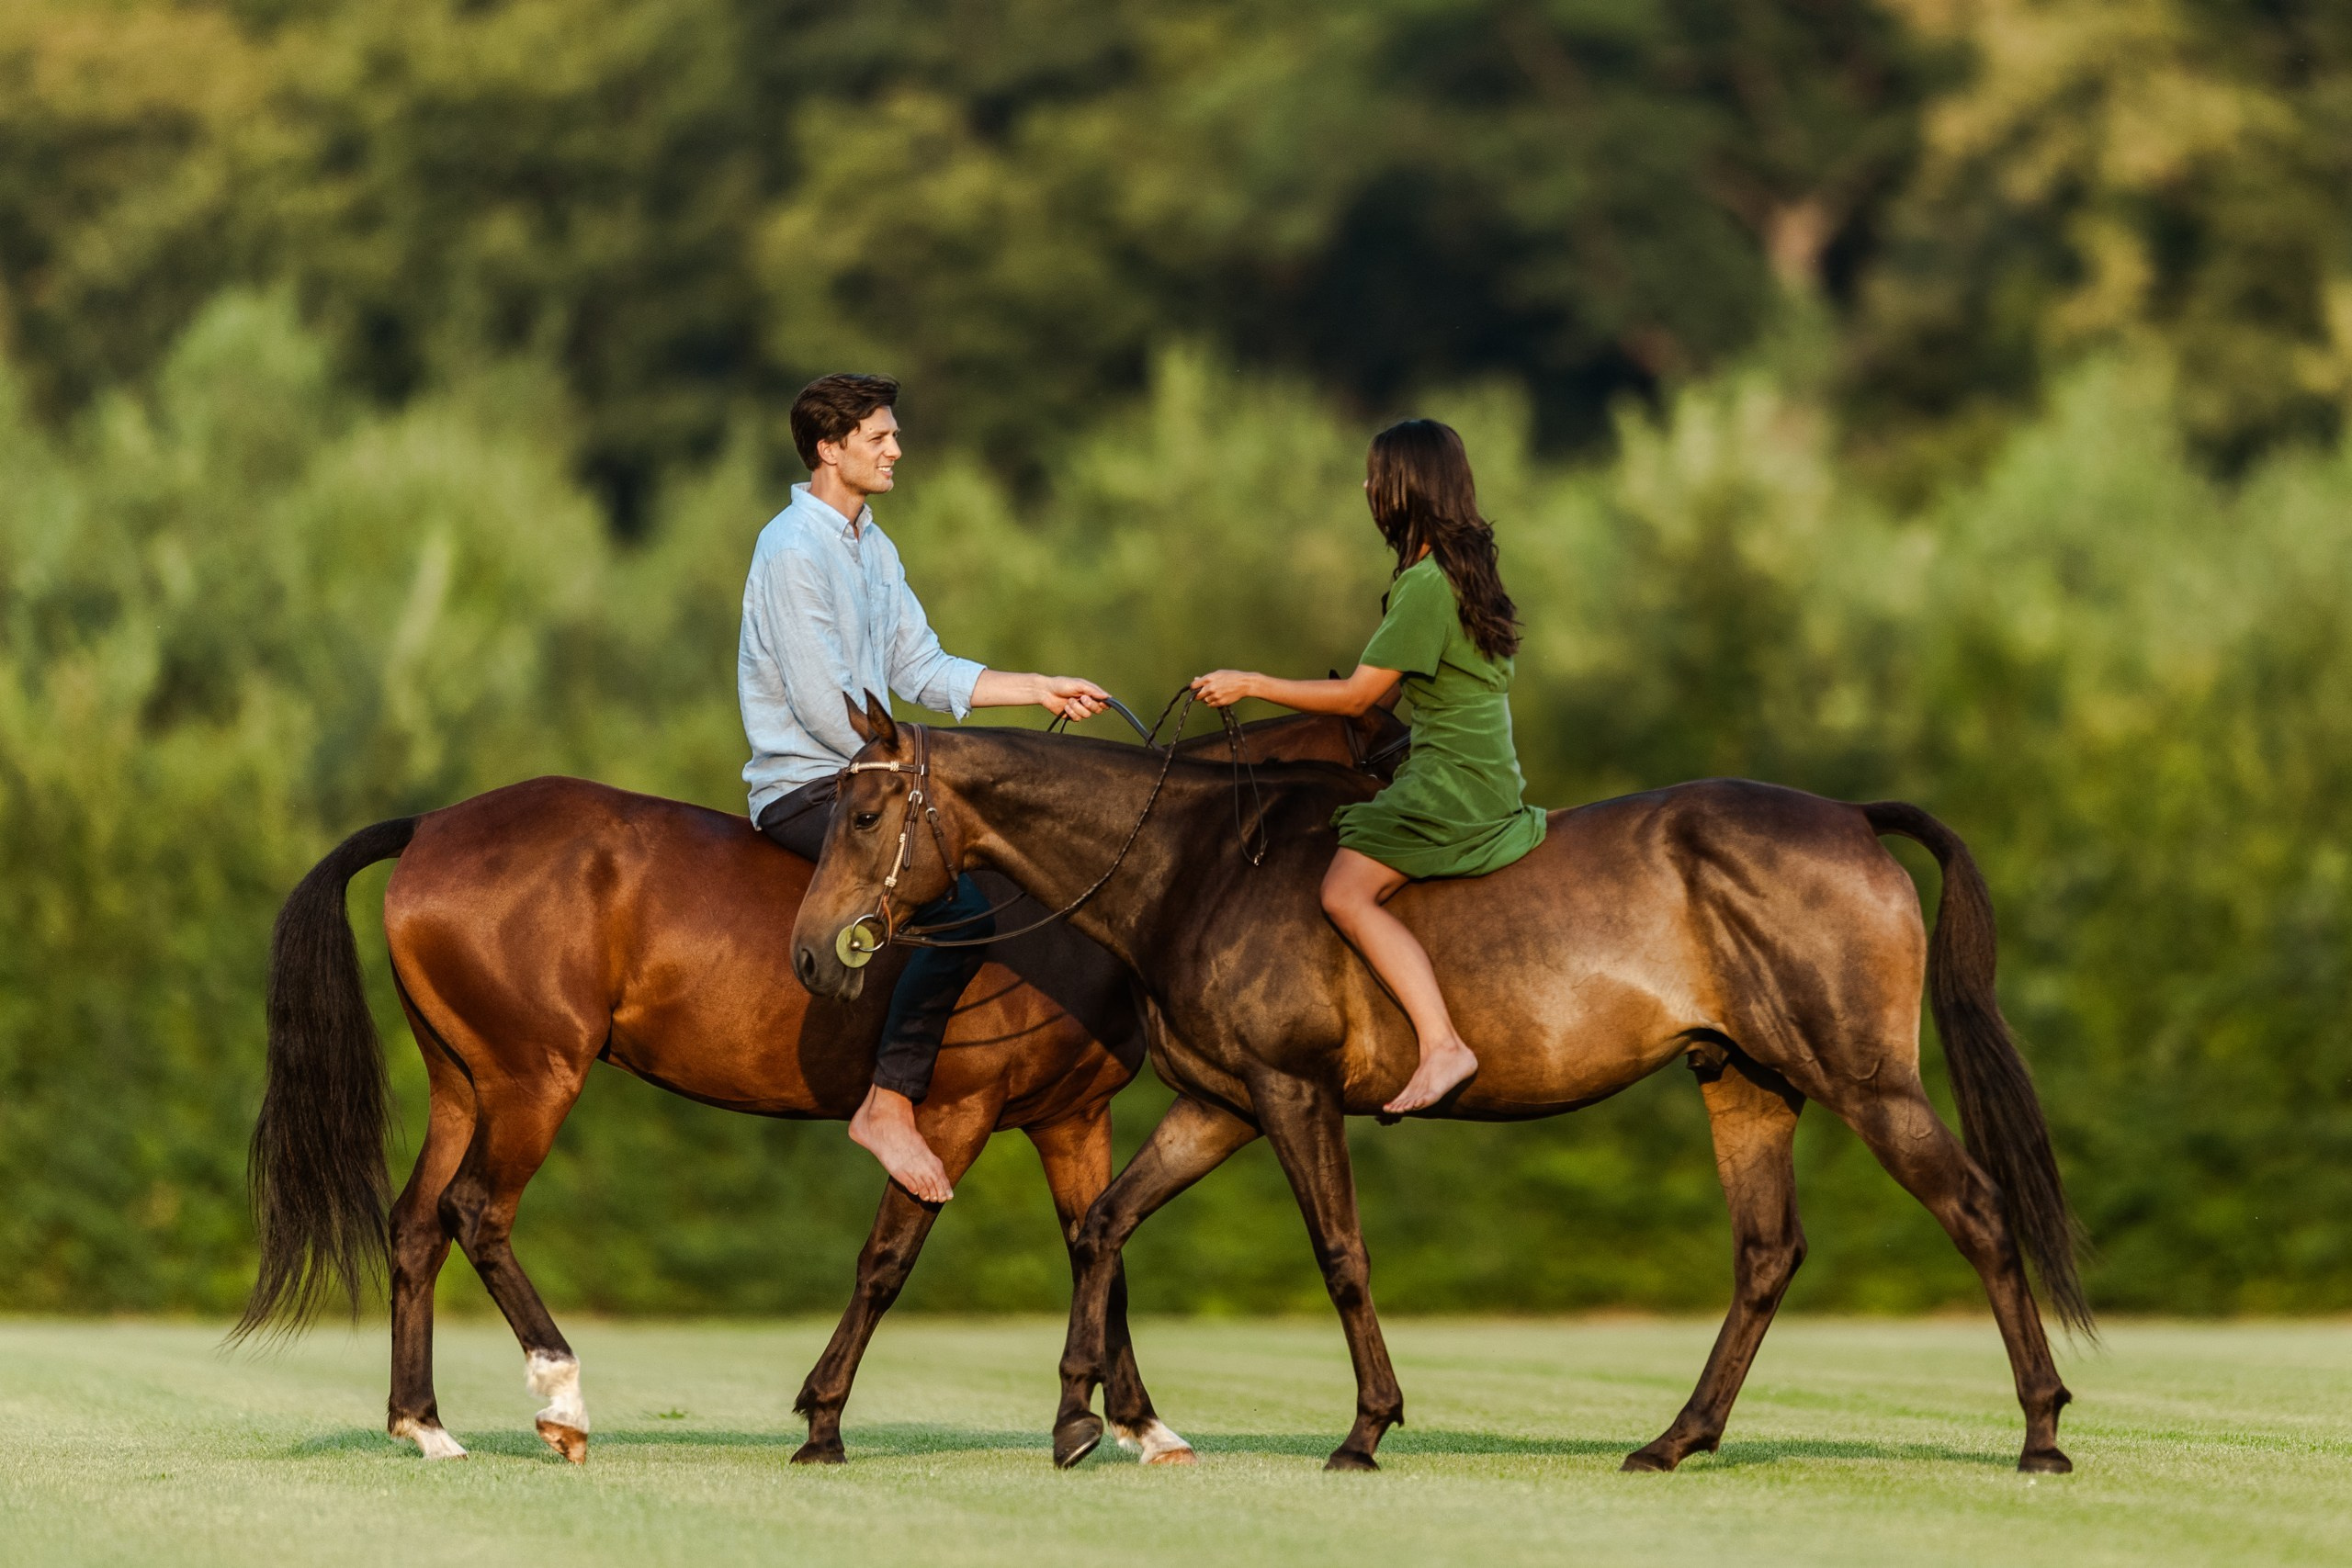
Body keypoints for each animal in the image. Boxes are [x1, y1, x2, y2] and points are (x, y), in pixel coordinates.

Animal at [233, 705, 1406, 1466]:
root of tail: (432, 825)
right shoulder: (955, 1115)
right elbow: (889, 1260)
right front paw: (824, 1422)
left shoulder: (1071, 1120)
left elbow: (1099, 1252)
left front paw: (1134, 1422)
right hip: (535, 1081)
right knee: (477, 1213)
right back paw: (560, 1398)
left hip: (465, 1082)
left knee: (415, 1226)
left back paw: (424, 1425)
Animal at [790, 699, 2092, 1476]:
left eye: (866, 811)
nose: (812, 954)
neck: (1198, 866)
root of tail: (1850, 819)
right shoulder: (1222, 1107)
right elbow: (1104, 1227)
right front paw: (1078, 1416)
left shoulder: (1291, 1096)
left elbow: (1340, 1254)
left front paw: (1366, 1429)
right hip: (1748, 1086)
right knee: (1767, 1256)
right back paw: (1676, 1440)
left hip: (1866, 1084)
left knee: (1977, 1214)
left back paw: (2040, 1431)